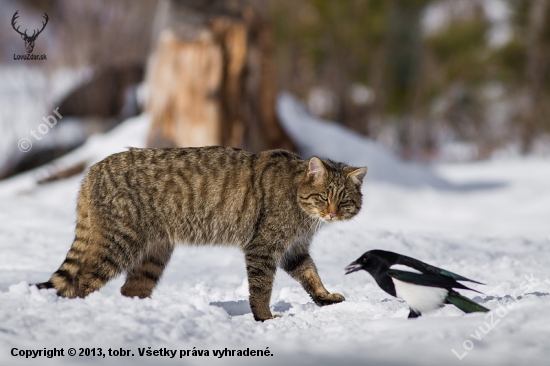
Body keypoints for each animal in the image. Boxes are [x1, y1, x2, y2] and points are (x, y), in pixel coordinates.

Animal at [36, 146, 368, 320]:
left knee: (130, 289)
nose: (332, 213)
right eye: (323, 197)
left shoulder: (294, 250)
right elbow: (261, 288)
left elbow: (312, 275)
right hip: (118, 243)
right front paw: (264, 318)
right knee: (82, 281)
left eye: (344, 201)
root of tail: (92, 170)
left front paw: (325, 298)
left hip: (153, 255)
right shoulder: (263, 247)